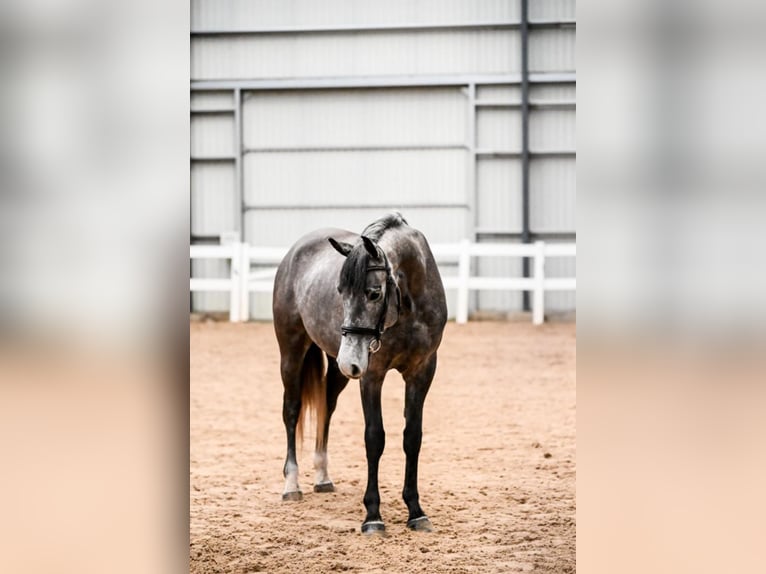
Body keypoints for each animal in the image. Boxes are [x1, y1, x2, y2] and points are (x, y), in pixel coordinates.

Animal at [272, 214, 450, 536]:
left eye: (374, 293)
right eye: (340, 291)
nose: (350, 361)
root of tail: (295, 250)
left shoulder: (422, 372)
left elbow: (412, 437)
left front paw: (416, 511)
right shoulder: (372, 376)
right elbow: (374, 438)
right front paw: (373, 516)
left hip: (336, 369)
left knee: (326, 408)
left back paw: (322, 477)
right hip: (292, 352)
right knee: (291, 411)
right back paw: (292, 484)